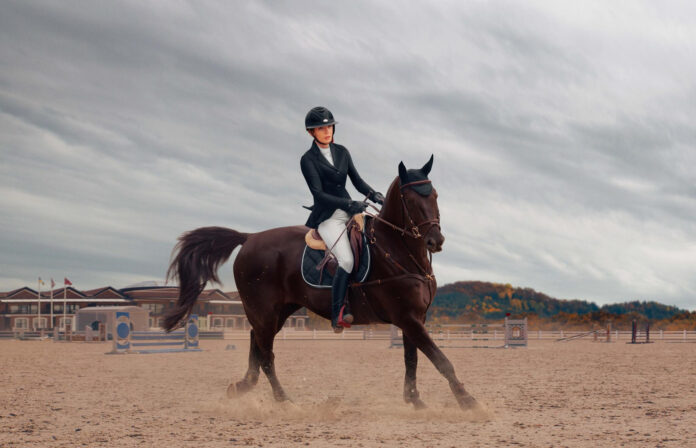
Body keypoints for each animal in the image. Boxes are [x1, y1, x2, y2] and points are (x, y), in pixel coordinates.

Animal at [163, 156, 479, 410]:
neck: (399, 251)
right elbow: (440, 360)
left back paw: (242, 387)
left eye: (434, 195)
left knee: (257, 343)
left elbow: (412, 360)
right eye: (411, 200)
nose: (436, 241)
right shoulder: (407, 318)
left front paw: (415, 401)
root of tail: (249, 237)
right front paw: (468, 401)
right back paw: (284, 401)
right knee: (266, 355)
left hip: (278, 311)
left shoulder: (414, 318)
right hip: (263, 310)